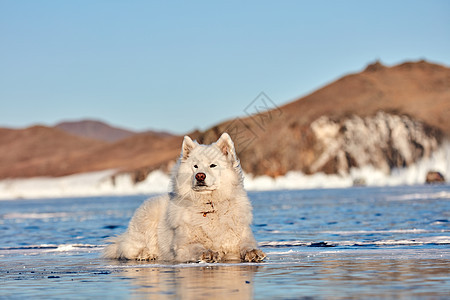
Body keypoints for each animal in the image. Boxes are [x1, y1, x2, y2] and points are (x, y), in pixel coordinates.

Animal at [103, 134, 266, 262]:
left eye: (213, 165)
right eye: (195, 166)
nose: (200, 176)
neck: (209, 205)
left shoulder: (240, 237)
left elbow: (246, 245)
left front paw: (253, 253)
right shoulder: (183, 245)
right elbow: (197, 247)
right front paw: (208, 253)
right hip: (147, 217)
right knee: (126, 249)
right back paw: (145, 254)